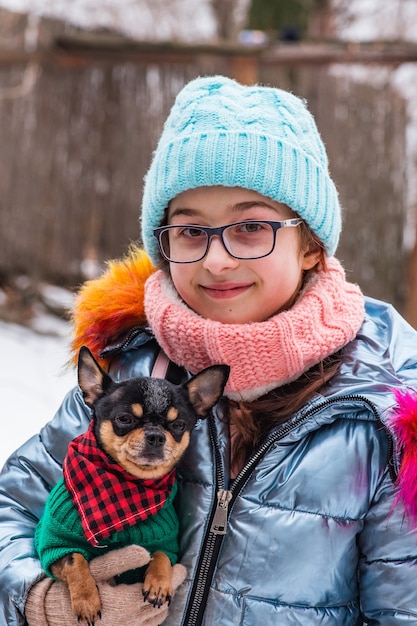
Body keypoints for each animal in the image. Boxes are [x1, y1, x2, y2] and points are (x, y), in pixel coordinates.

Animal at [41, 346, 229, 624]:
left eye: (179, 425)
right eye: (124, 418)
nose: (156, 436)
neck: (129, 485)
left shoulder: (166, 543)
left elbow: (161, 556)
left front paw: (159, 583)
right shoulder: (54, 547)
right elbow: (76, 559)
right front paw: (87, 600)